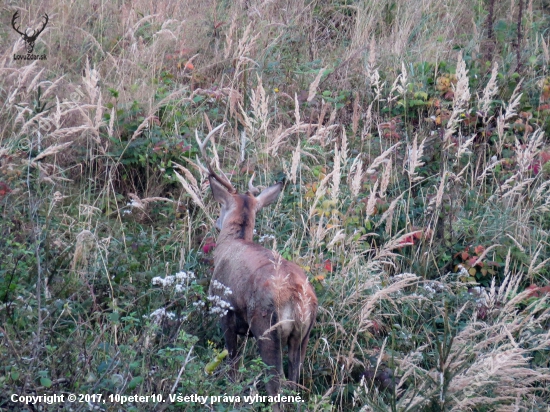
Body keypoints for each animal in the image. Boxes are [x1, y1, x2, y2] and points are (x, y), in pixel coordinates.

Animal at [198, 124, 320, 410]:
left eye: (221, 206)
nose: (217, 223)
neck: (232, 243)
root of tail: (298, 297)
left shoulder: (225, 309)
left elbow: (231, 361)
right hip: (303, 335)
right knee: (294, 381)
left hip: (267, 328)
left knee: (275, 385)